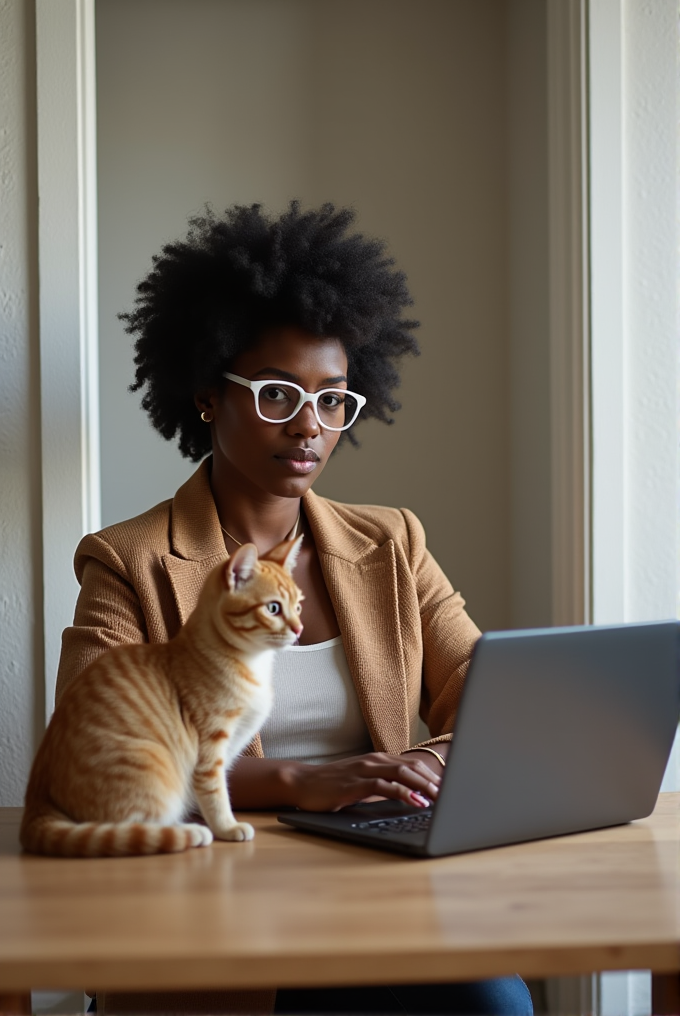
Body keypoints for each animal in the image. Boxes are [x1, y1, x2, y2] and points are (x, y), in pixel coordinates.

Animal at [21, 540, 302, 857]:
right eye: (273, 608)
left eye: (298, 606)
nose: (299, 628)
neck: (251, 662)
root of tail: (37, 795)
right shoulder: (210, 748)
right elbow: (216, 794)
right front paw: (227, 827)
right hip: (150, 764)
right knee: (129, 830)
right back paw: (189, 832)